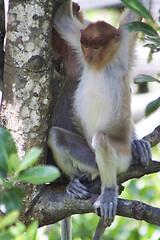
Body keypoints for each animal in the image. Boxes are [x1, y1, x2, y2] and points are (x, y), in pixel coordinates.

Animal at [48, 0, 151, 238]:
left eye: (96, 47)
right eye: (86, 46)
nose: (88, 57)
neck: (102, 64)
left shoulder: (123, 45)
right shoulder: (76, 41)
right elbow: (61, 19)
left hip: (121, 156)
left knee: (102, 139)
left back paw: (109, 190)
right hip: (88, 156)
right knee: (56, 136)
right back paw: (76, 181)